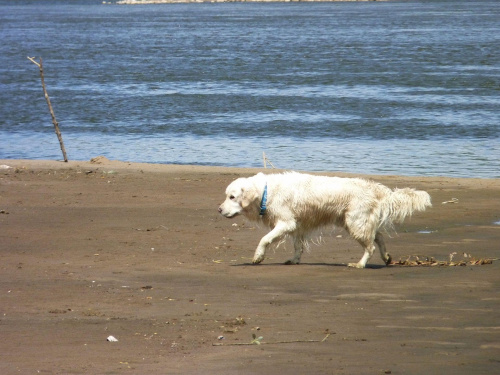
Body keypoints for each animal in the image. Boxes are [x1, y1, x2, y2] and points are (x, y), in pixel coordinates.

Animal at [217, 172, 432, 268]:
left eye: (232, 197)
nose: (219, 210)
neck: (265, 192)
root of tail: (375, 188)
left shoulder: (286, 223)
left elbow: (264, 240)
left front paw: (258, 257)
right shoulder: (297, 226)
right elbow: (297, 246)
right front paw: (294, 260)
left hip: (355, 223)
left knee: (370, 246)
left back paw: (360, 264)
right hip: (359, 222)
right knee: (378, 237)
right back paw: (386, 257)